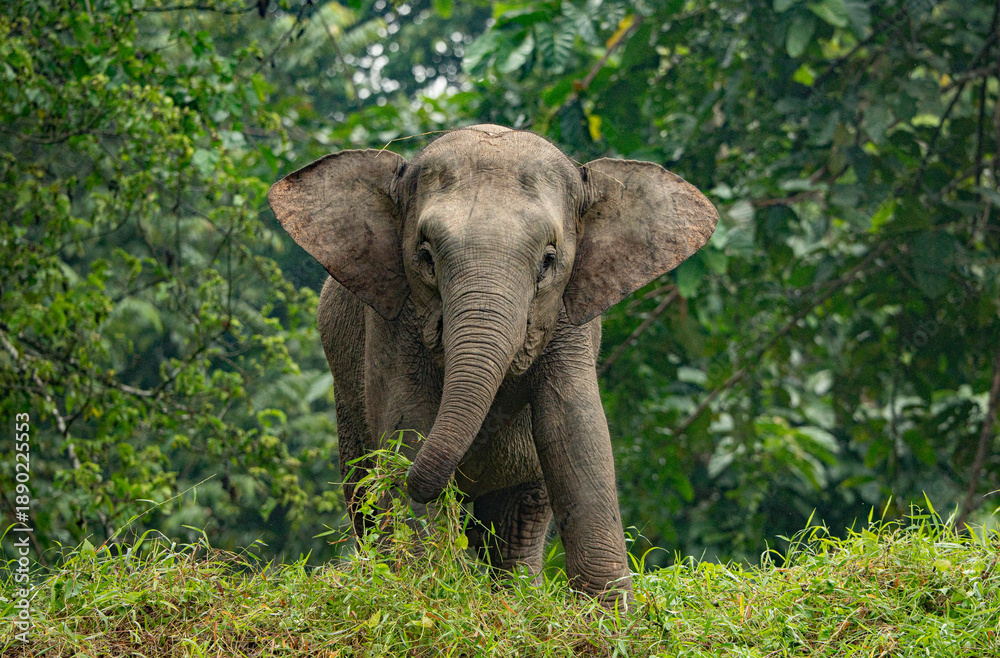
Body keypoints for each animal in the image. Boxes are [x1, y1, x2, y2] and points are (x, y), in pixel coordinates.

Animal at [267, 124, 717, 604]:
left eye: (548, 260)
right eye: (425, 256)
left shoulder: (569, 321)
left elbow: (574, 430)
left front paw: (611, 614)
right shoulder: (394, 320)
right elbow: (408, 426)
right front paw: (422, 591)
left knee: (518, 518)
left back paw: (517, 597)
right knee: (363, 496)